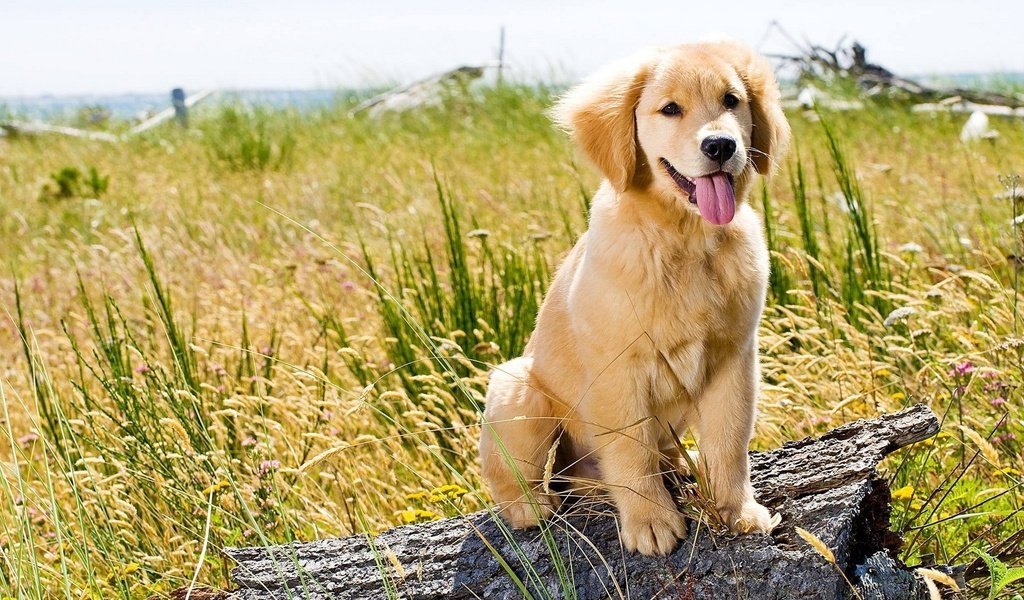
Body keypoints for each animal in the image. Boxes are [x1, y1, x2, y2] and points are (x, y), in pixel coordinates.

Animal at [479, 39, 790, 552]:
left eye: (731, 101)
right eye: (670, 109)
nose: (721, 145)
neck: (685, 239)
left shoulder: (734, 359)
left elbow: (729, 444)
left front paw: (737, 511)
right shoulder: (618, 370)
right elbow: (630, 450)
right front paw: (650, 521)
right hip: (518, 389)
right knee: (516, 473)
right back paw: (530, 507)